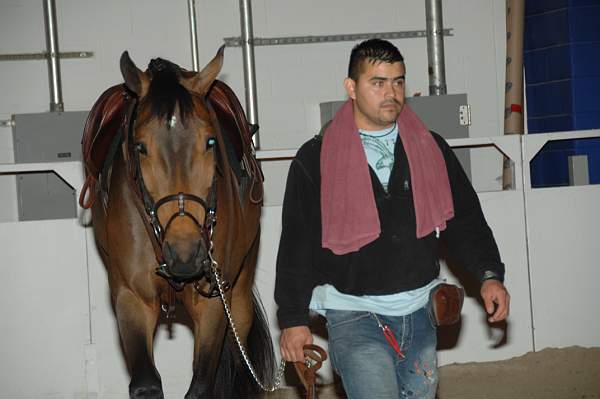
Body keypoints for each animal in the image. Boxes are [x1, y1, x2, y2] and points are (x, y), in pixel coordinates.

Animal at [82, 47, 274, 399]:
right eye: (141, 146)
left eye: (210, 142)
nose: (185, 254)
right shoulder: (131, 298)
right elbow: (146, 384)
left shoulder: (213, 301)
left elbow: (201, 387)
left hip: (239, 297)